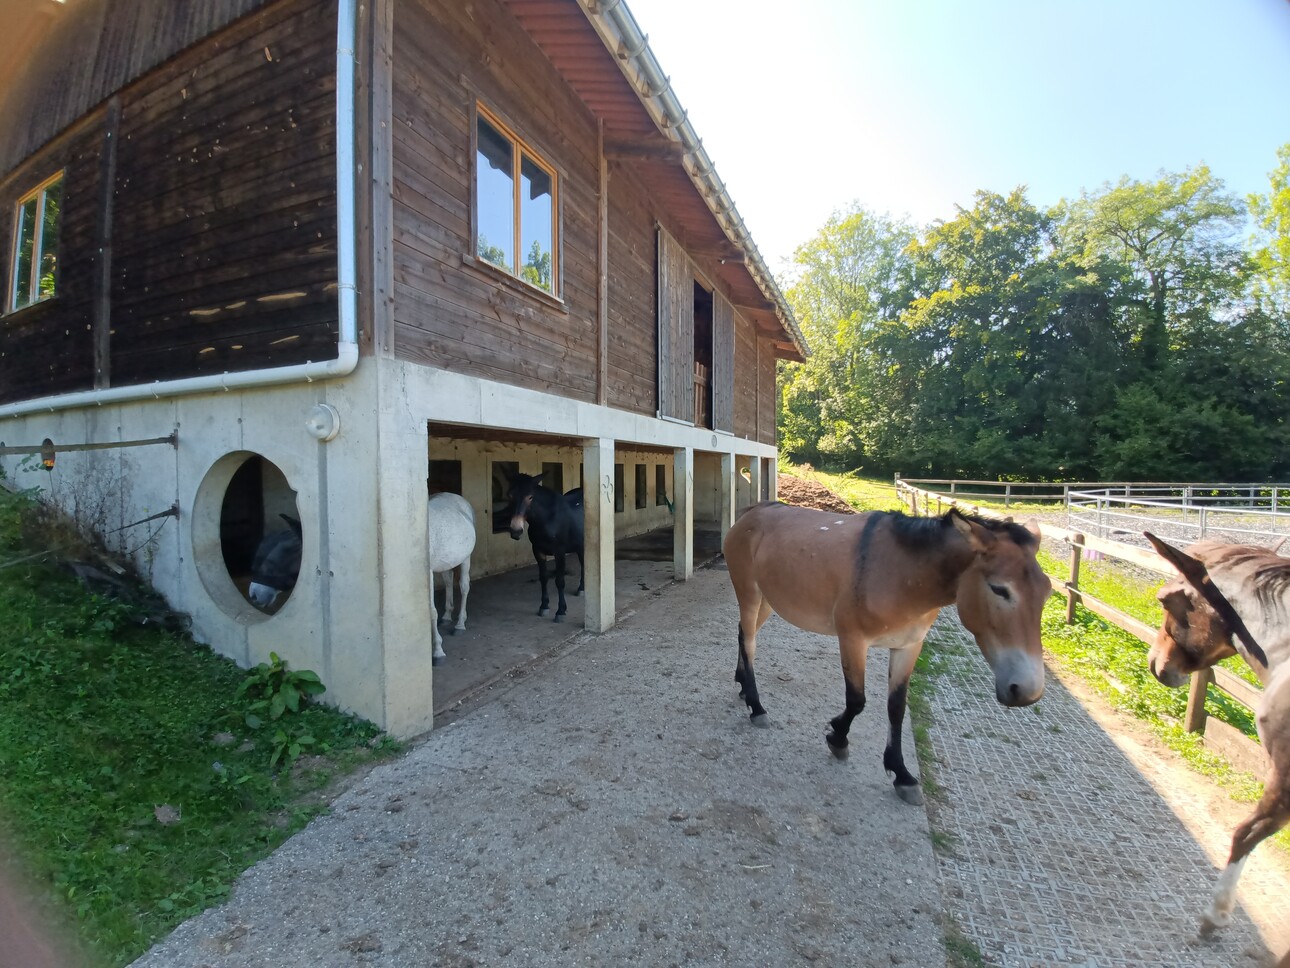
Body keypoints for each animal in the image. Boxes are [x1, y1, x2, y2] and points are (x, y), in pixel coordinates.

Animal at [430, 493, 477, 665]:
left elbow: (431, 611)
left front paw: (437, 651)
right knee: (449, 582)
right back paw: (447, 616)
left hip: (465, 558)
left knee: (464, 587)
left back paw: (460, 624)